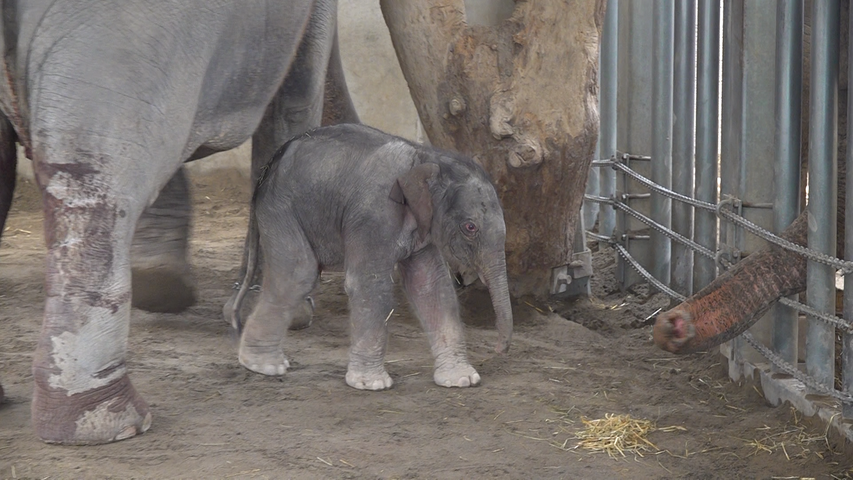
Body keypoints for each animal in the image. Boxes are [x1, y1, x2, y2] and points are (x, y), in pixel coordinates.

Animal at [224, 123, 513, 391]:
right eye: (470, 227)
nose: (499, 350)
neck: (425, 157)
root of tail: (267, 168)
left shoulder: (423, 228)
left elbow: (430, 284)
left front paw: (462, 380)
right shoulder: (373, 216)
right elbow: (370, 283)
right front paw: (372, 384)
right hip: (281, 209)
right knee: (298, 273)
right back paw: (264, 366)